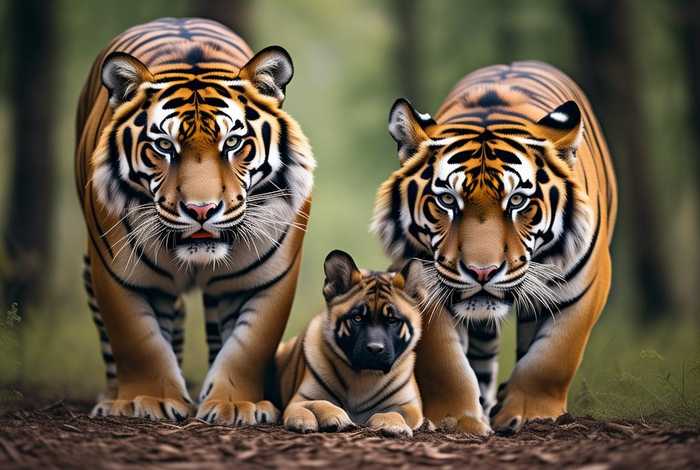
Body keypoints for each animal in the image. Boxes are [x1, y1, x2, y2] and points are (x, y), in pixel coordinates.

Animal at [75, 17, 315, 423]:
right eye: (164, 146)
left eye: (233, 143)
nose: (201, 210)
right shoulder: (117, 273)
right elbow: (137, 340)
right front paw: (149, 400)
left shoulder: (267, 275)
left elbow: (249, 344)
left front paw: (237, 404)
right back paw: (112, 398)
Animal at [272, 250, 424, 437]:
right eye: (357, 318)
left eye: (392, 320)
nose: (375, 349)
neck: (363, 377)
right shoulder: (300, 399)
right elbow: (319, 402)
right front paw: (313, 420)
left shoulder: (409, 406)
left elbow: (393, 412)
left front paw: (393, 426)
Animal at [372, 61, 617, 433]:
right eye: (447, 200)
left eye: (517, 200)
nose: (482, 272)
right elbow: (445, 363)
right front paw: (457, 420)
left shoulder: (585, 285)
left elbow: (552, 358)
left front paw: (530, 414)